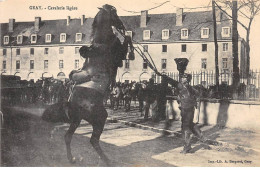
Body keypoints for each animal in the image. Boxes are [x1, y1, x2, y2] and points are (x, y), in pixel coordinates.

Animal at [63, 4, 132, 166]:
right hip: (100, 118)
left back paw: (72, 158)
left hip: (76, 120)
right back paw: (107, 161)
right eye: (115, 13)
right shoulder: (119, 55)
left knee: (68, 136)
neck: (102, 41)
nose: (122, 25)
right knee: (93, 140)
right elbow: (126, 42)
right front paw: (128, 40)